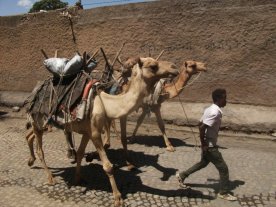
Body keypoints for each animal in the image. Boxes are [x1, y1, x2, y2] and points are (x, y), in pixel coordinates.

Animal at [27, 57, 178, 207]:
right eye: (153, 66)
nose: (174, 67)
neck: (106, 104)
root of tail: (34, 92)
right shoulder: (95, 133)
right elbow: (108, 166)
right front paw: (118, 198)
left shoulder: (87, 131)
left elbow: (80, 153)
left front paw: (78, 178)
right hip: (38, 121)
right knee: (40, 149)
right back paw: (50, 178)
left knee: (30, 136)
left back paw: (31, 161)